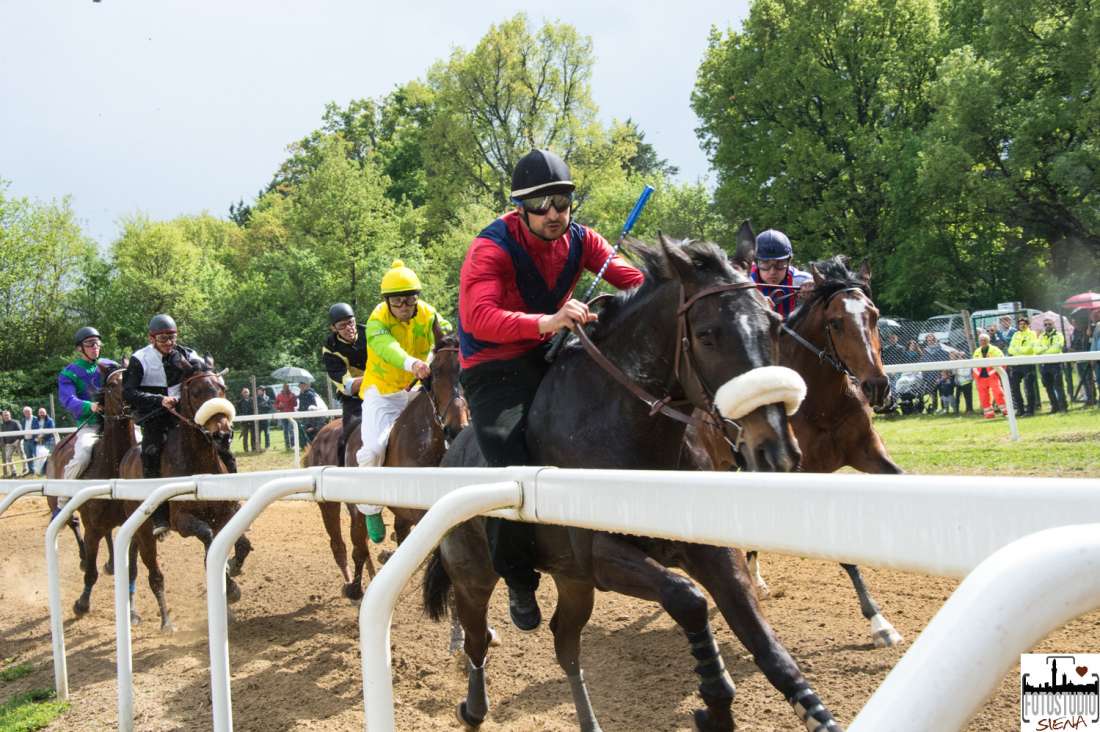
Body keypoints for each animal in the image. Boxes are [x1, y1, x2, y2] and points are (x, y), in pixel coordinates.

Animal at [120, 358, 253, 616]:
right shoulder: (182, 521)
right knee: (151, 565)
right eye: (196, 392)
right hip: (144, 530)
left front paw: (232, 566)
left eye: (222, 389)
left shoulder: (227, 512)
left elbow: (241, 545)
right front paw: (230, 587)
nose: (223, 435)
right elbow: (208, 539)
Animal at [305, 334, 468, 598]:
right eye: (434, 372)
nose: (456, 428)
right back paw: (353, 584)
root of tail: (321, 434)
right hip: (332, 504)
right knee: (347, 544)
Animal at [424, 231, 836, 730]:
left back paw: (587, 720)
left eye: (775, 326)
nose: (775, 450)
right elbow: (688, 599)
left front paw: (812, 710)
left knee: (565, 643)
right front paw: (714, 700)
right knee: (477, 639)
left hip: (571, 580)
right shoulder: (603, 556)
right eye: (707, 335)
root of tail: (448, 458)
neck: (622, 428)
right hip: (473, 576)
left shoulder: (704, 548)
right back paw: (475, 704)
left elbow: (761, 636)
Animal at [686, 255, 902, 647]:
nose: (877, 386)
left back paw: (755, 577)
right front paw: (878, 621)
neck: (822, 400)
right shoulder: (804, 473)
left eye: (874, 315)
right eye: (835, 322)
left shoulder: (869, 453)